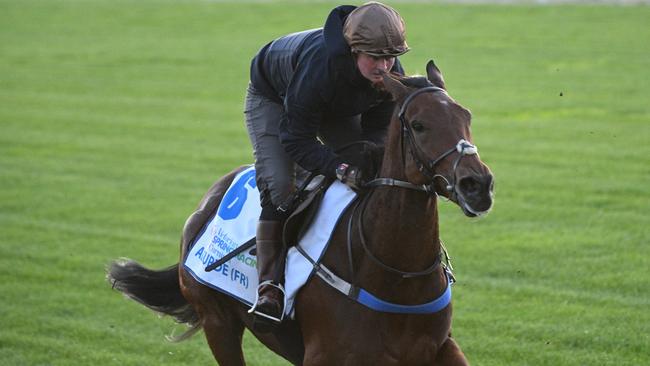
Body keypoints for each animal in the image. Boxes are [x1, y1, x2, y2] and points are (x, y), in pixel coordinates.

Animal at [107, 61, 492, 364]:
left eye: (466, 115)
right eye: (419, 124)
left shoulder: (440, 349)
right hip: (218, 322)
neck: (396, 275)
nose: (478, 184)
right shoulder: (326, 354)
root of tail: (207, 201)